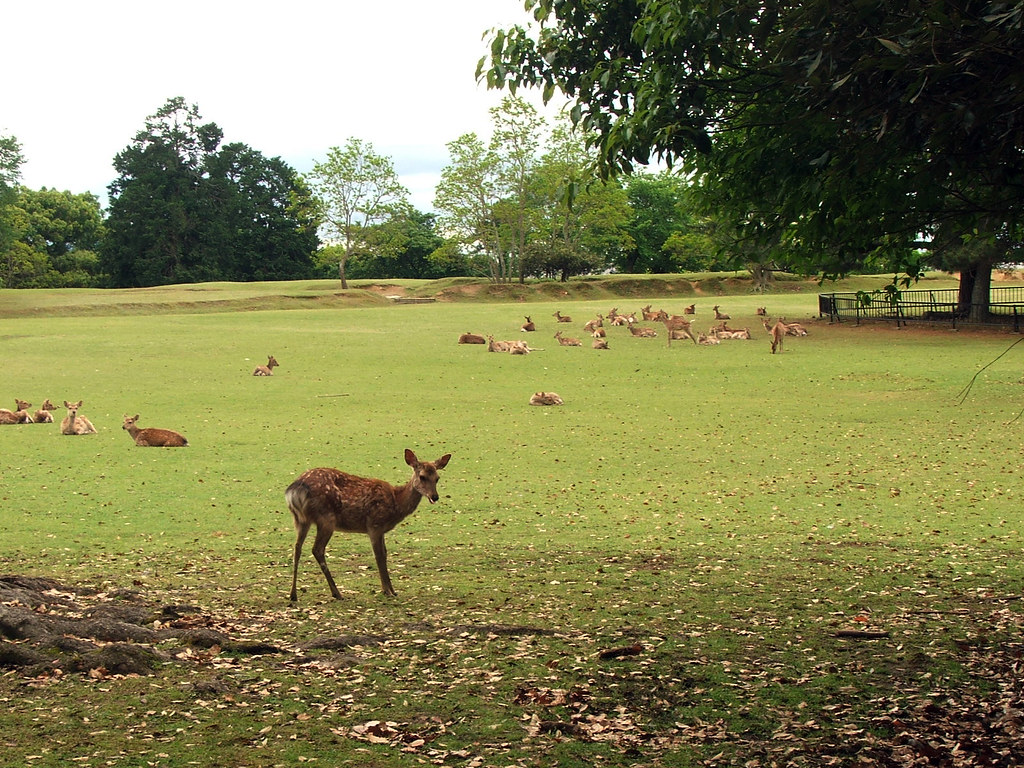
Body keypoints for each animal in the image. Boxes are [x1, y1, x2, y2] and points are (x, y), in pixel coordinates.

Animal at [286, 448, 450, 606]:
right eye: (422, 476)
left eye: (437, 478)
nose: (435, 496)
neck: (396, 503)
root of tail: (296, 489)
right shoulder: (374, 524)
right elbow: (379, 555)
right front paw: (387, 591)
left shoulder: (381, 529)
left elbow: (385, 553)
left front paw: (392, 590)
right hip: (326, 518)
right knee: (317, 549)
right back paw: (337, 593)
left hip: (301, 519)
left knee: (297, 547)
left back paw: (293, 595)